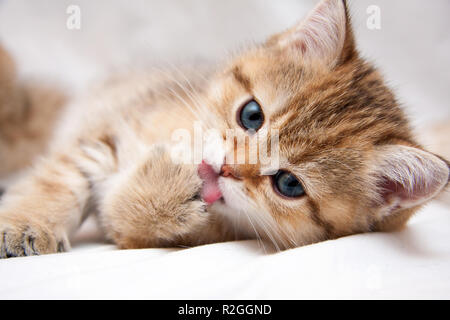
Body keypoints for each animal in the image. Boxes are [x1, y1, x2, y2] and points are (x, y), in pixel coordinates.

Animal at [0, 0, 450, 258]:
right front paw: (26, 224)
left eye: (289, 184)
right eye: (251, 115)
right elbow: (59, 181)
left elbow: (124, 220)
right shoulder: (107, 129)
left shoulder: (147, 234)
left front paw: (162, 192)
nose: (225, 168)